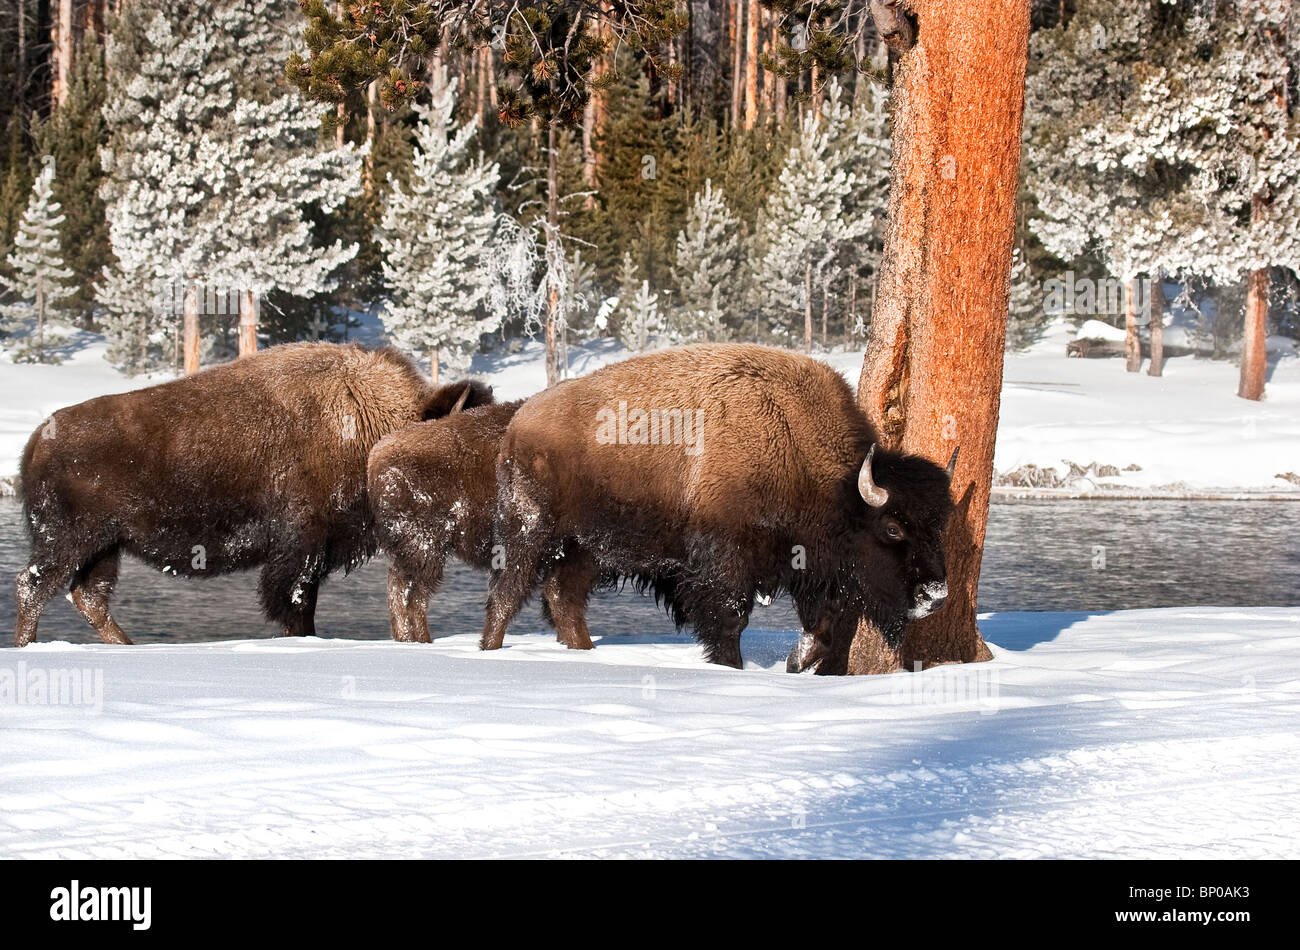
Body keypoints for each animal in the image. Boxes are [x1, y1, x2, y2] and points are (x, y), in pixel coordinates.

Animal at [14, 342, 492, 646]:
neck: (370, 423)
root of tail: (40, 437)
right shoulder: (301, 552)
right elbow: (294, 609)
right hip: (69, 541)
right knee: (32, 588)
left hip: (104, 547)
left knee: (87, 596)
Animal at [479, 343, 956, 671]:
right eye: (892, 528)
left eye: (940, 525)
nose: (937, 596)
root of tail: (519, 422)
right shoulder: (725, 563)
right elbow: (730, 621)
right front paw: (732, 668)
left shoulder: (808, 567)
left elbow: (821, 626)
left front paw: (795, 662)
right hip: (530, 529)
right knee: (507, 593)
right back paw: (490, 650)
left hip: (586, 548)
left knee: (564, 598)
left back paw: (584, 652)